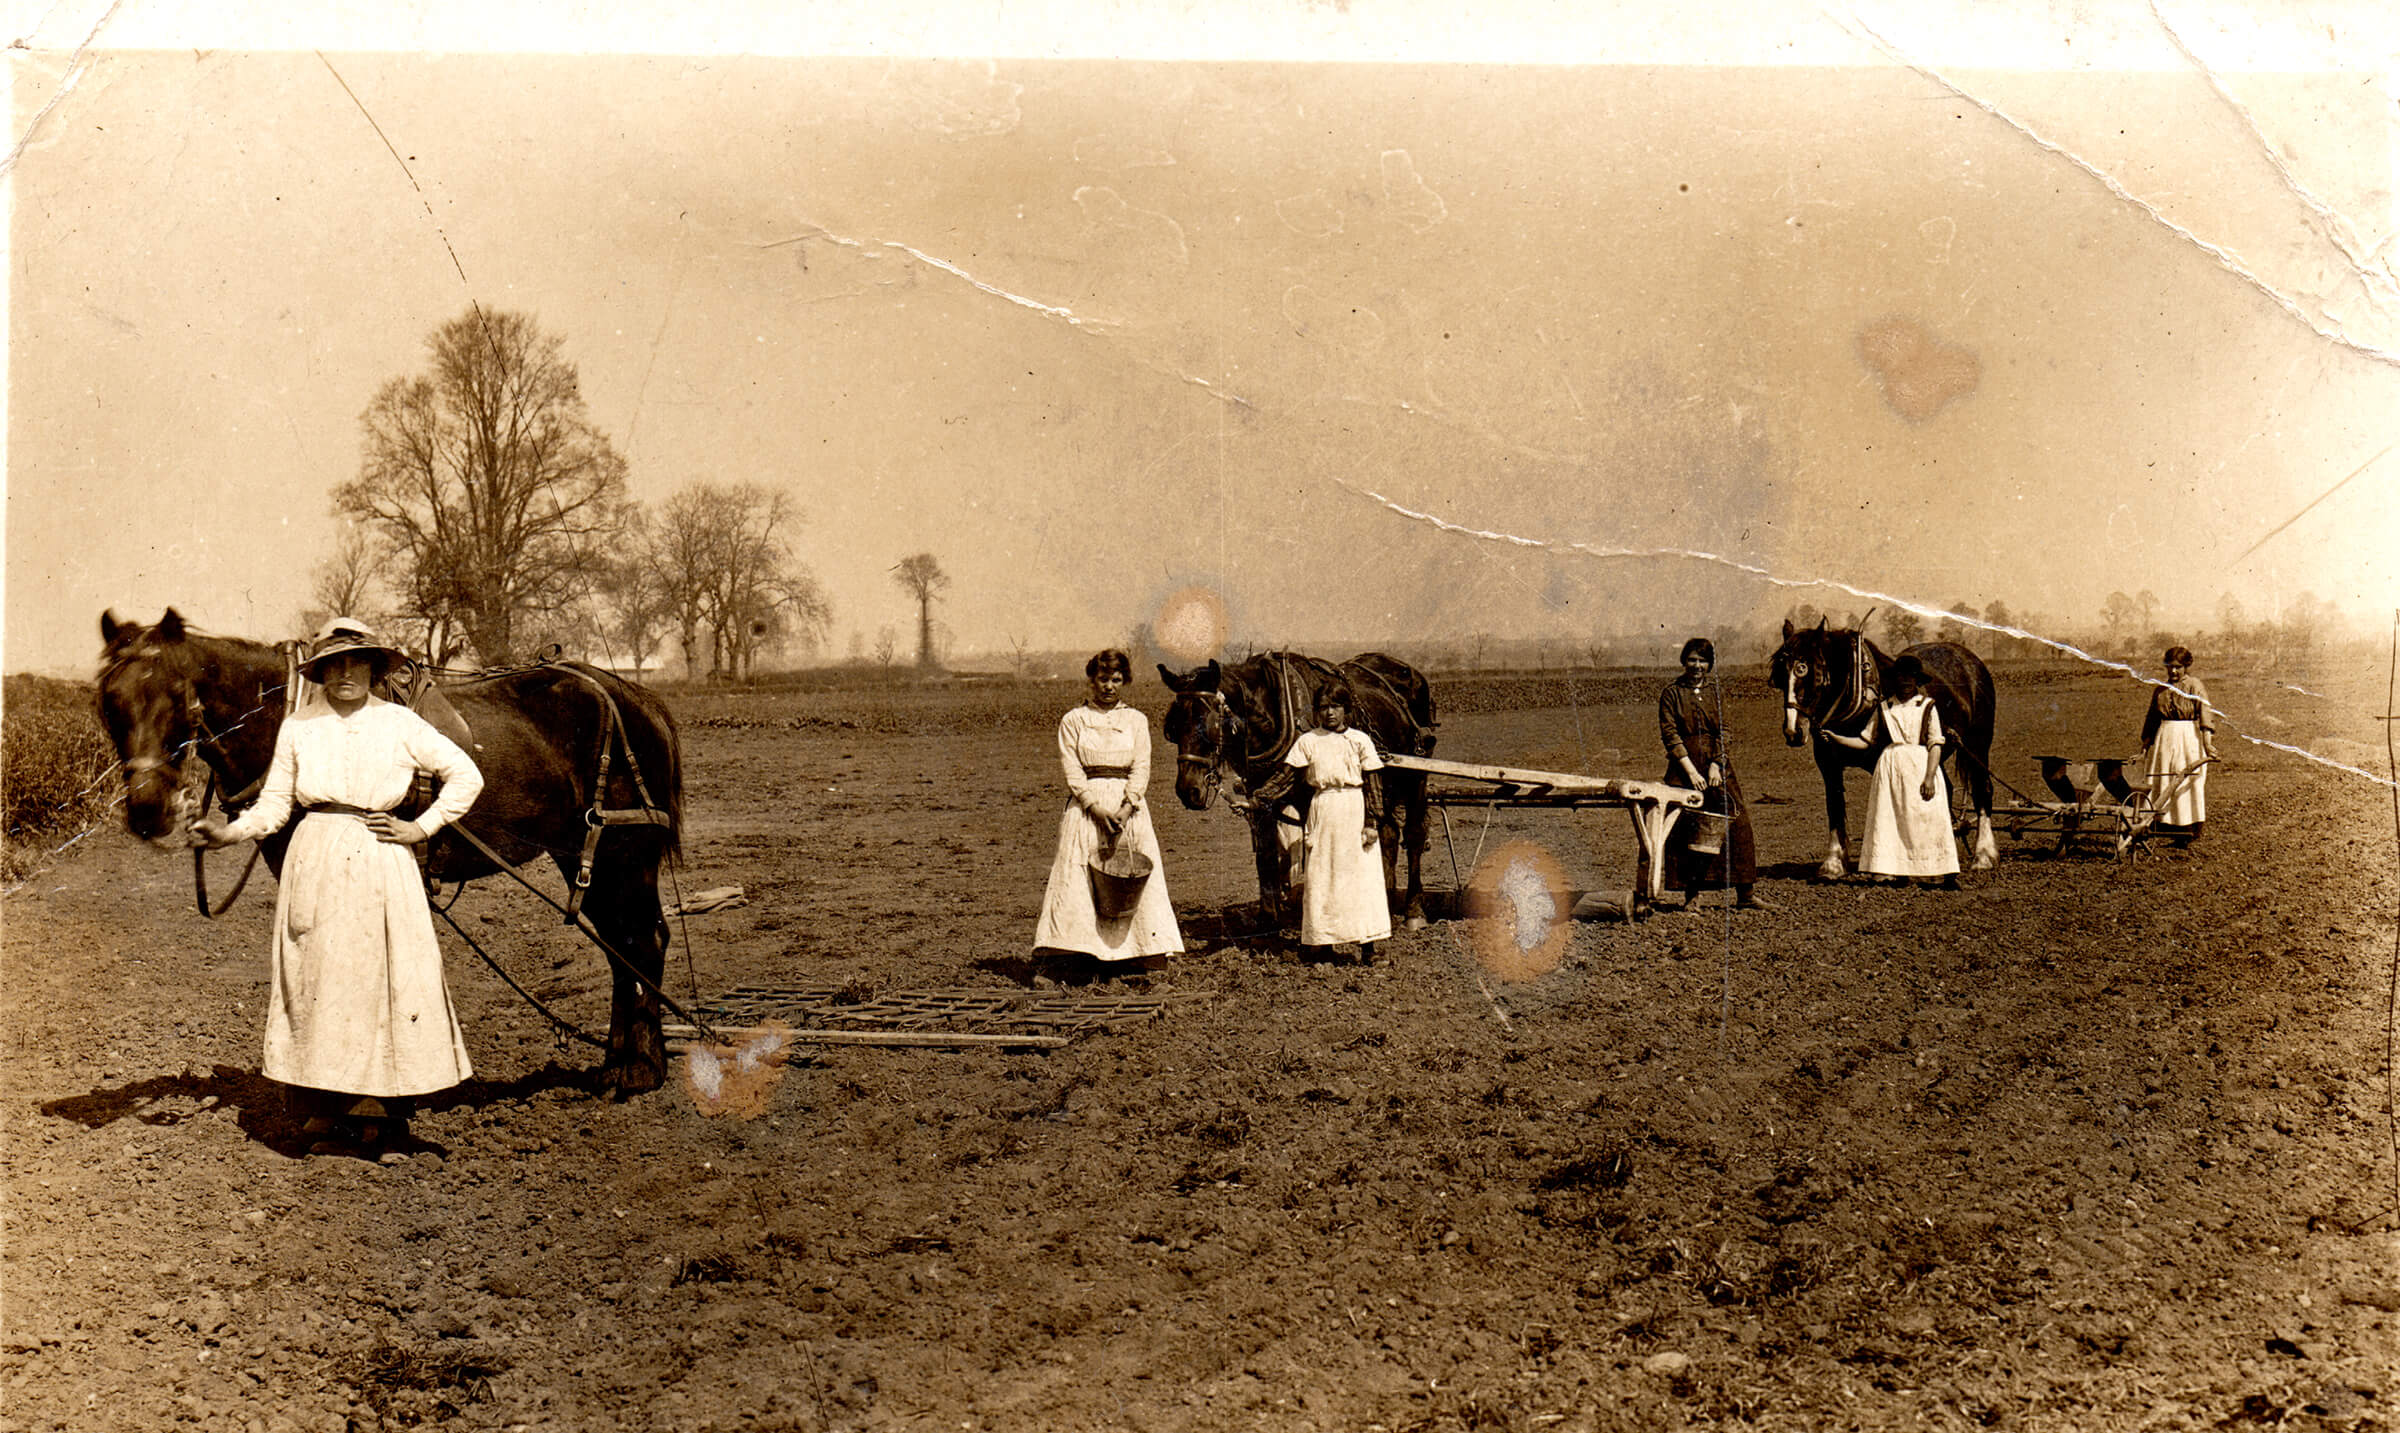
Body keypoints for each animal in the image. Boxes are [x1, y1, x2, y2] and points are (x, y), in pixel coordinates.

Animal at [95, 609, 685, 1095]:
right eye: (109, 701)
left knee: (644, 939)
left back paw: (641, 1071)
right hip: (583, 855)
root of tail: (634, 698)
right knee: (619, 947)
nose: (146, 810)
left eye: (176, 696)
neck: (287, 714)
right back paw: (615, 1065)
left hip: (623, 853)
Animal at [1158, 651, 1437, 928]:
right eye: (1172, 727)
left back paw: (1414, 911)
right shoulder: (1261, 798)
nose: (1187, 790)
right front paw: (1268, 919)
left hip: (1415, 774)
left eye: (1210, 725)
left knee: (1413, 835)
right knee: (1388, 833)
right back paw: (1385, 900)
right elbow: (1267, 855)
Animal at [1768, 618, 2000, 878]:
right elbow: (1834, 804)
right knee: (1946, 789)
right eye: (1780, 677)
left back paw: (1983, 855)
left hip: (1978, 743)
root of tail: (1969, 658)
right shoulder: (1828, 763)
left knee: (1983, 789)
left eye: (1814, 675)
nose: (1793, 731)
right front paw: (1834, 863)